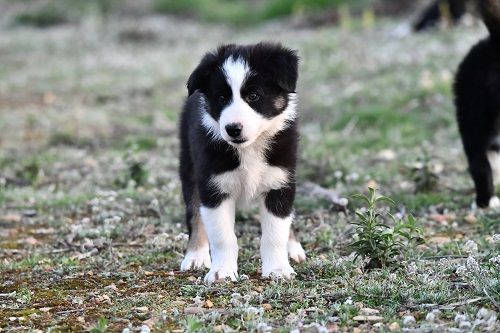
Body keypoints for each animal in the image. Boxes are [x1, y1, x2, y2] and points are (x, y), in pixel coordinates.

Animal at [178, 42, 306, 282]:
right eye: (221, 98)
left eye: (254, 96)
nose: (233, 129)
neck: (249, 148)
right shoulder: (214, 186)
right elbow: (222, 236)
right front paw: (221, 272)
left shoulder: (280, 182)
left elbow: (275, 233)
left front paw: (278, 269)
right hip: (188, 165)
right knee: (194, 212)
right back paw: (196, 255)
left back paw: (293, 248)